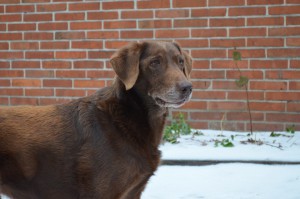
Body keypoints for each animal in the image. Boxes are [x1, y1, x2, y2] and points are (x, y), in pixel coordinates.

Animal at [0, 41, 192, 198]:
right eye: (154, 63)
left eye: (180, 62)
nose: (187, 87)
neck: (124, 118)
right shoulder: (100, 192)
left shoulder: (133, 191)